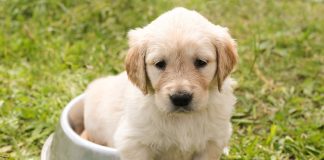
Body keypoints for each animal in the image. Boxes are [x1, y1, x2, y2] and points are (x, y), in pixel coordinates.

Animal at [84, 6, 238, 159]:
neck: (182, 119)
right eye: (159, 64)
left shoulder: (213, 141)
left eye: (201, 62)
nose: (180, 98)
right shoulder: (133, 143)